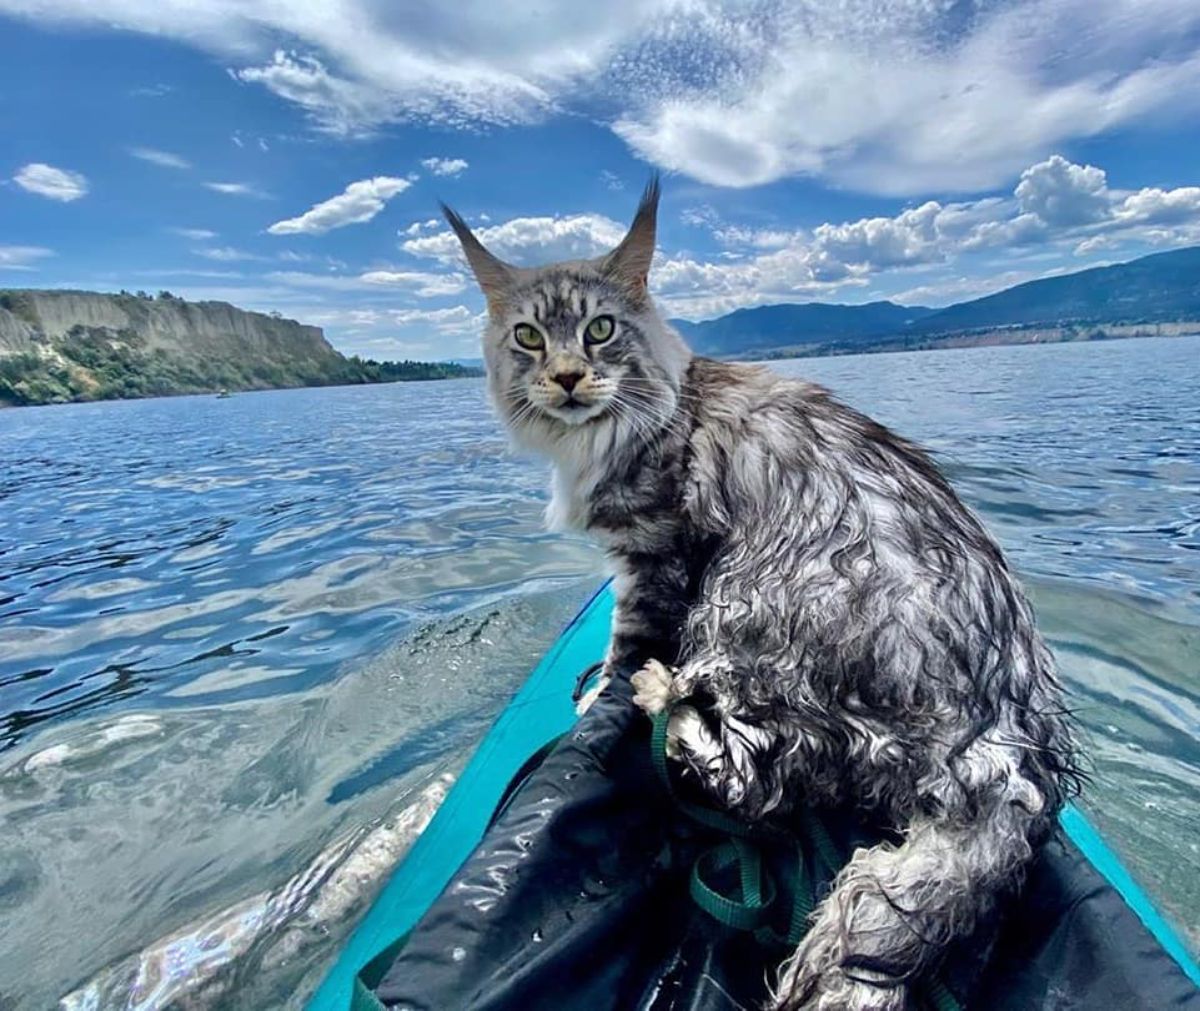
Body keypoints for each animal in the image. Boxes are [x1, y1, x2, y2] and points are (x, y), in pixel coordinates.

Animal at [446, 181, 1084, 1008]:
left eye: (599, 330)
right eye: (526, 336)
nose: (564, 377)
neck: (619, 427)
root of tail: (1004, 739)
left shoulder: (658, 553)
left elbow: (624, 640)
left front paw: (603, 695)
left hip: (752, 598)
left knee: (754, 784)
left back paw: (668, 699)